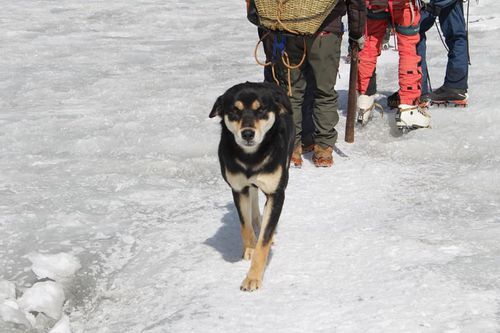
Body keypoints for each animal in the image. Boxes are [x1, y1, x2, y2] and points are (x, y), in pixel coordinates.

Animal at [209, 81, 294, 290]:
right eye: (234, 111)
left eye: (261, 109)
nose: (247, 133)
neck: (251, 157)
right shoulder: (238, 189)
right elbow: (244, 225)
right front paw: (249, 248)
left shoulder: (276, 193)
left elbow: (265, 239)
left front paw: (253, 277)